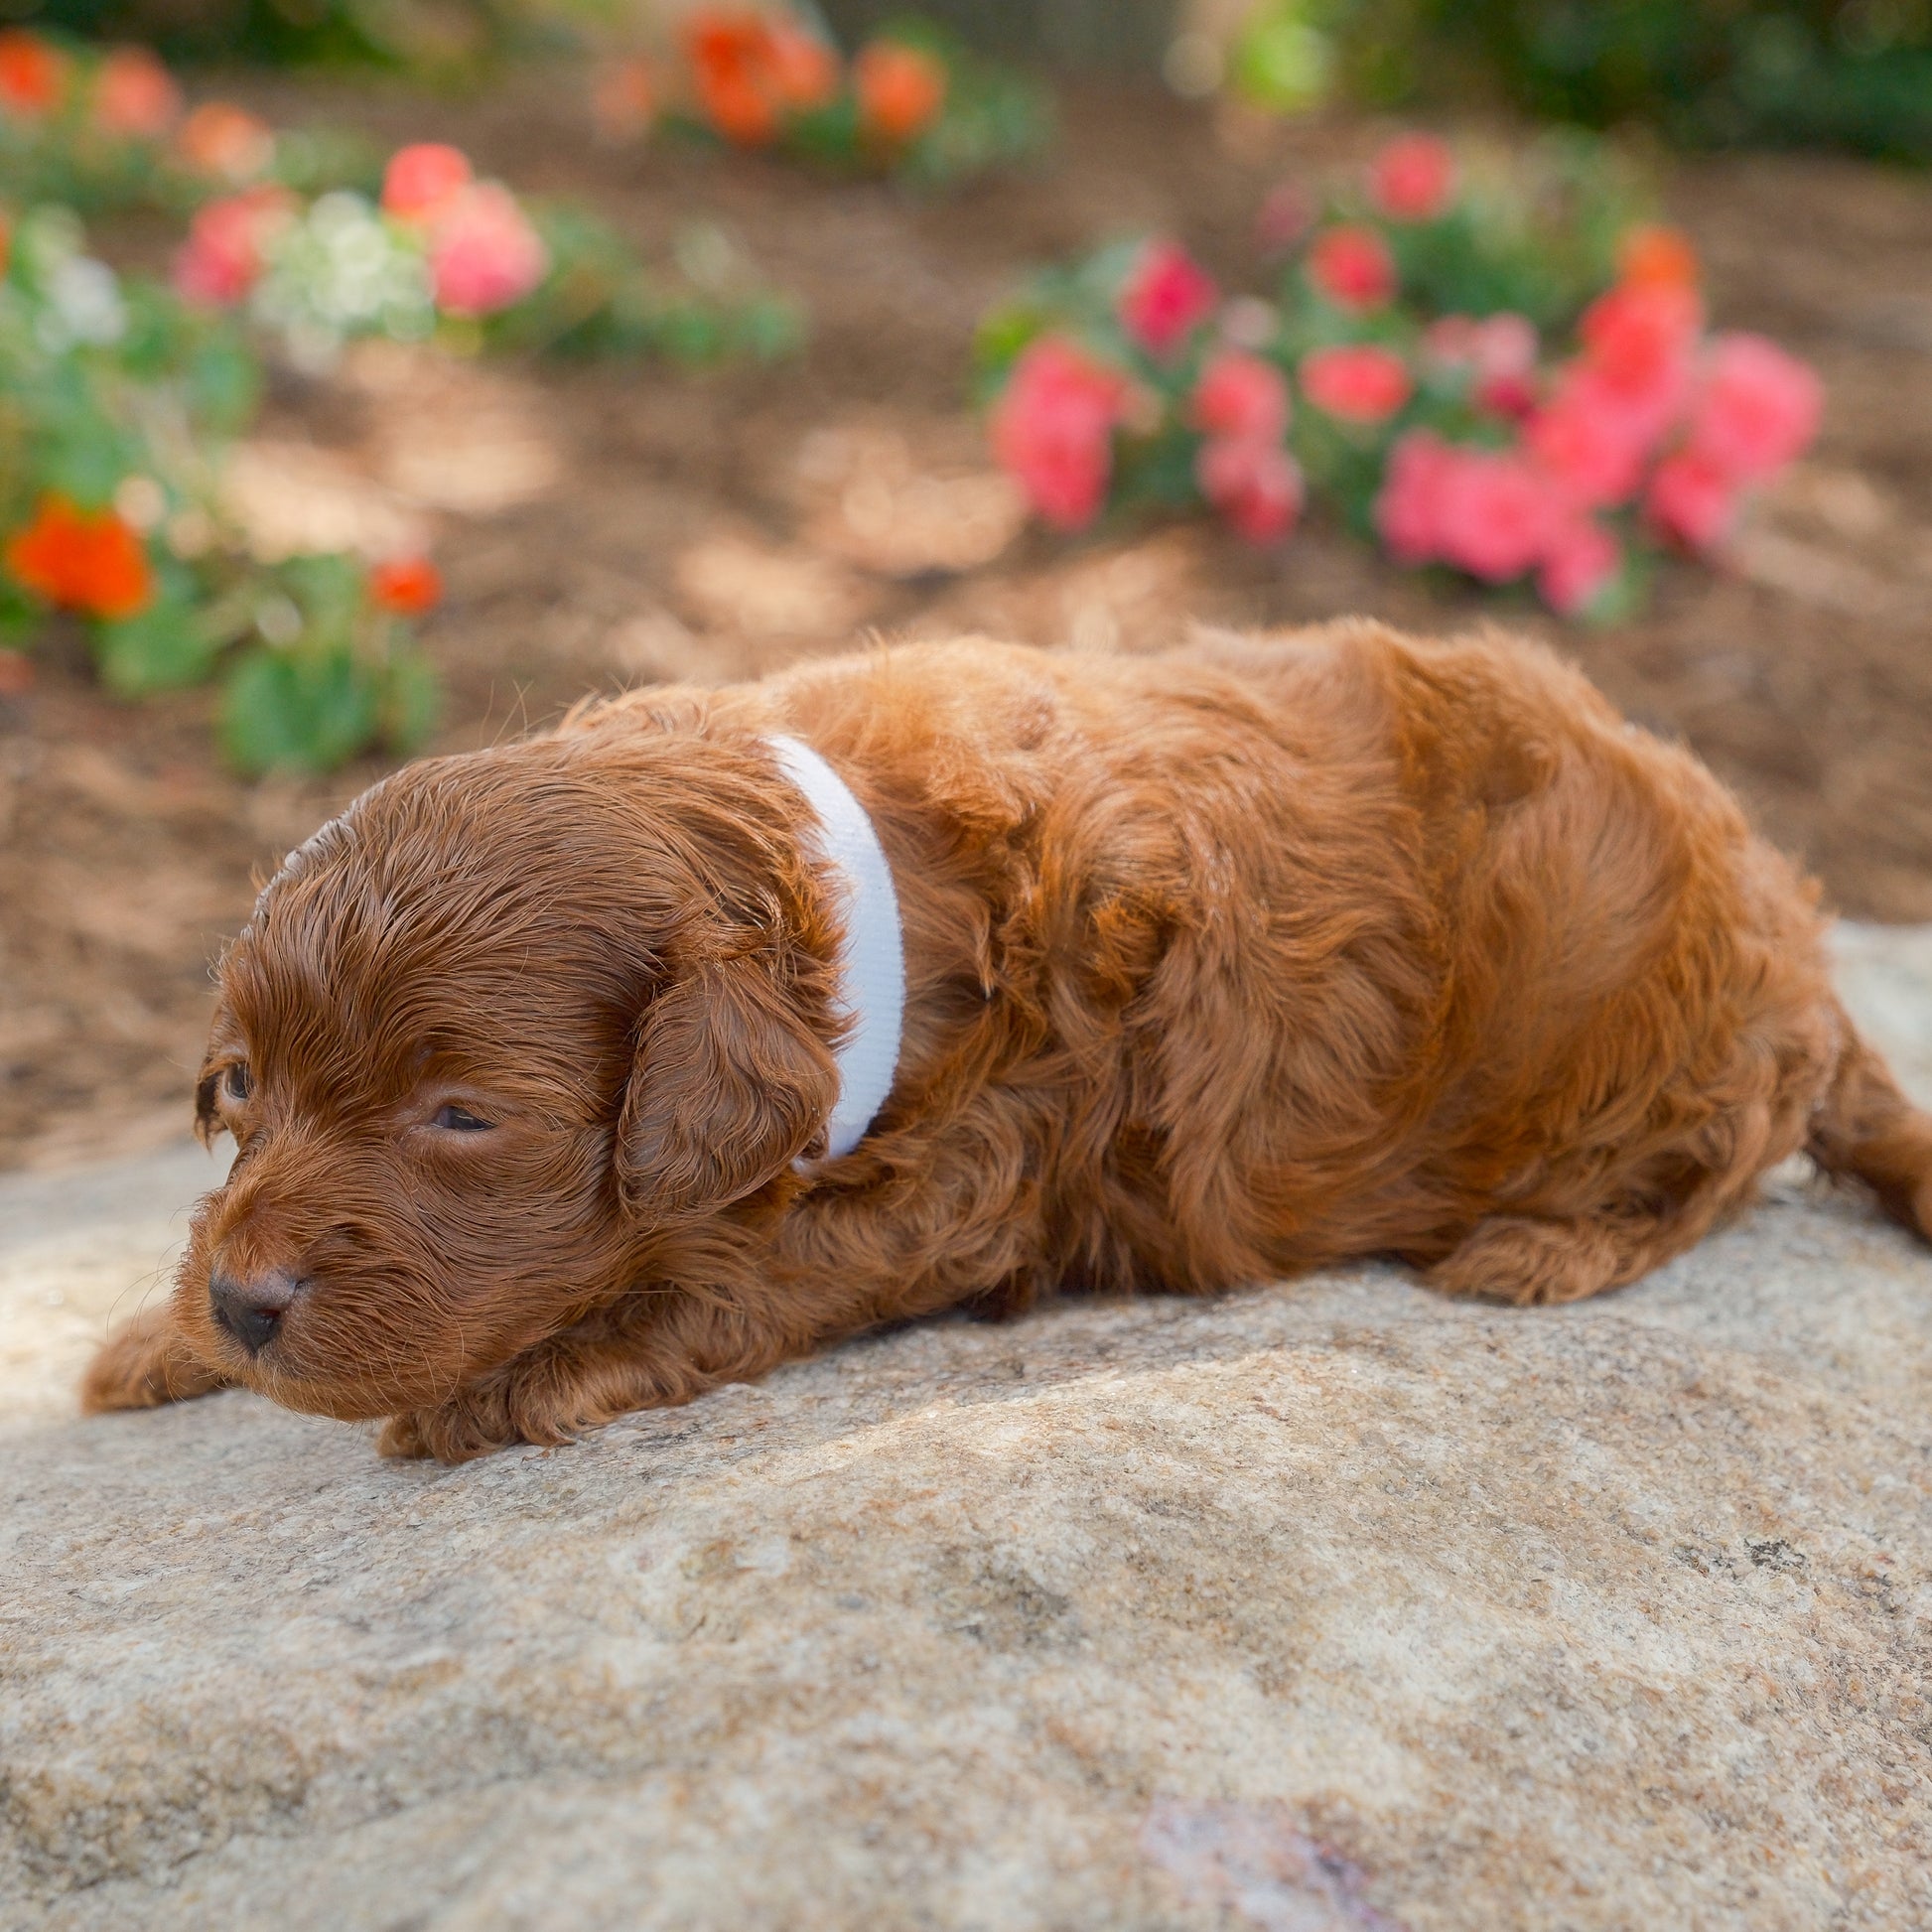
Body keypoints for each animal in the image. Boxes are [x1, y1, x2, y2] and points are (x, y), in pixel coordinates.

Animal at [82, 625, 1932, 1452]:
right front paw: (162, 1335)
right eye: (242, 1088)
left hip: (1669, 1037)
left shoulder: (983, 1166)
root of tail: (1798, 953)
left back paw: (1539, 1248)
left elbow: (745, 1273)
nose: (250, 1305)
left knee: (1702, 1171)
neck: (856, 891)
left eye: (463, 1118)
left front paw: (509, 1381)